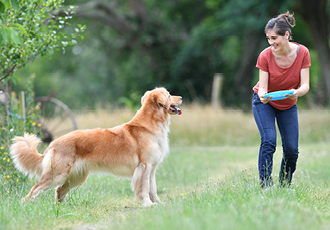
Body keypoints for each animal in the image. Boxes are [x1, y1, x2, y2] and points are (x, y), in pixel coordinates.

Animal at [9, 87, 183, 207]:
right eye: (169, 95)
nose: (181, 97)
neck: (152, 124)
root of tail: (53, 143)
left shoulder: (151, 168)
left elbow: (153, 188)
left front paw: (158, 203)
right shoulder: (144, 166)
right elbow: (145, 188)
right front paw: (147, 204)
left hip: (76, 177)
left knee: (59, 191)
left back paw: (60, 208)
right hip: (57, 174)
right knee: (35, 189)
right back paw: (26, 205)